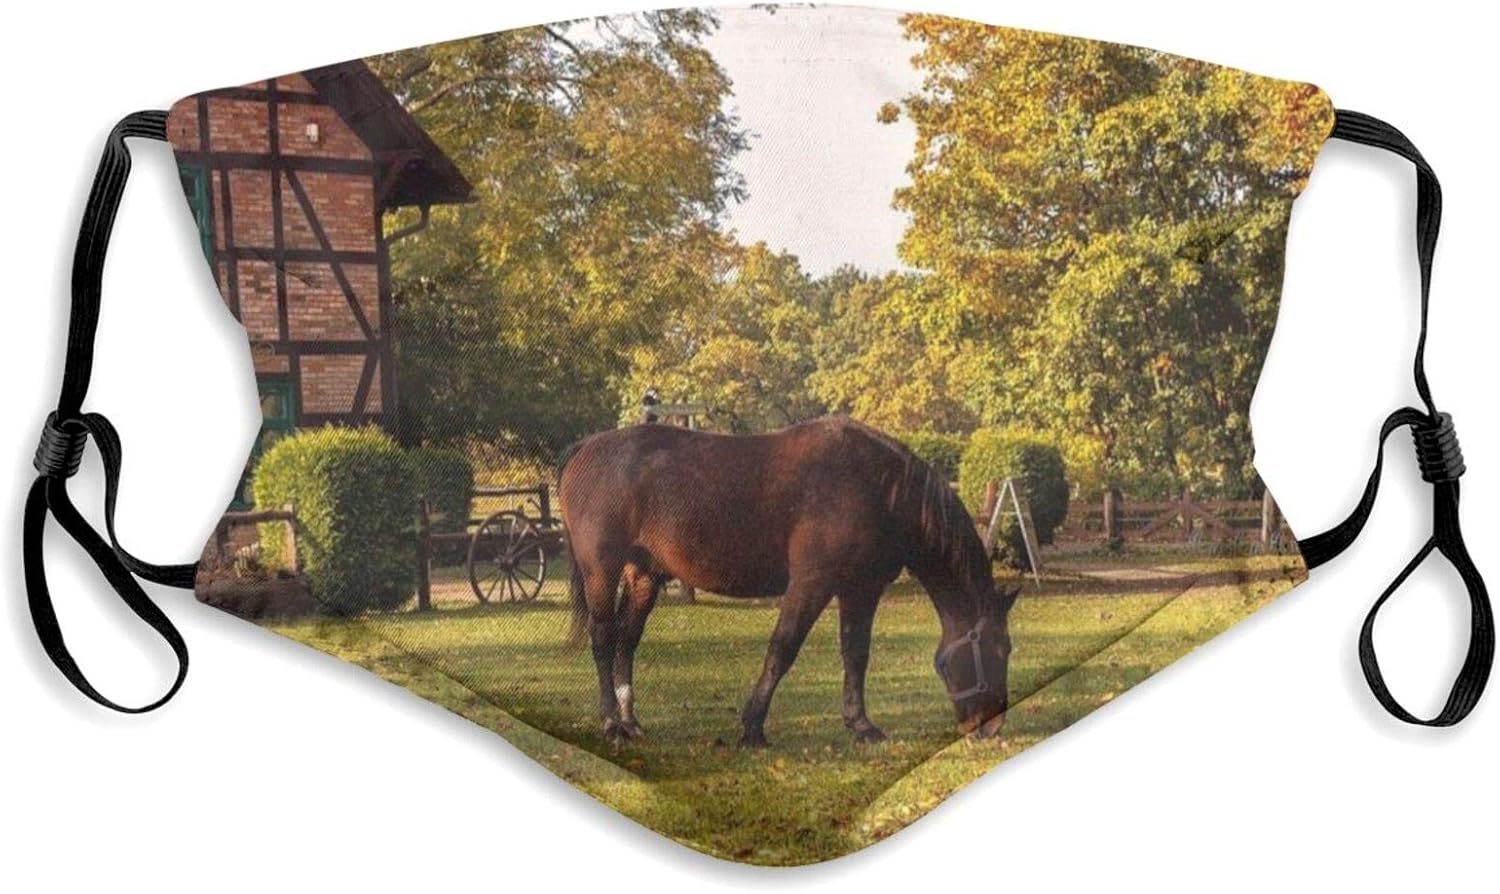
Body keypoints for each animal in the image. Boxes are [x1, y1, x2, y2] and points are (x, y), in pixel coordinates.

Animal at [558, 416, 1017, 747]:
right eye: (999, 649)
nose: (993, 727)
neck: (877, 486)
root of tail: (586, 448)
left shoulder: (861, 589)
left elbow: (856, 654)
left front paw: (861, 725)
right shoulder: (811, 584)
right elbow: (783, 649)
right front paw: (752, 728)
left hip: (643, 576)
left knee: (626, 641)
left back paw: (631, 721)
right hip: (602, 571)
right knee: (603, 640)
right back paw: (611, 724)